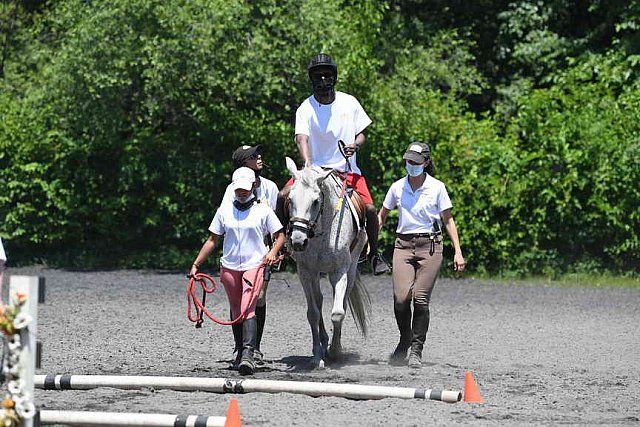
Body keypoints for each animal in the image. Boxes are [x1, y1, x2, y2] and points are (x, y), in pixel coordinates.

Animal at [284, 157, 370, 368]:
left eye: (316, 202)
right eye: (290, 200)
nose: (298, 241)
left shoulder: (339, 271)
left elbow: (338, 313)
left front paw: (335, 351)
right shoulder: (305, 272)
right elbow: (313, 313)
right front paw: (317, 356)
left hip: (351, 269)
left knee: (342, 301)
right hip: (316, 273)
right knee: (319, 300)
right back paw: (323, 342)